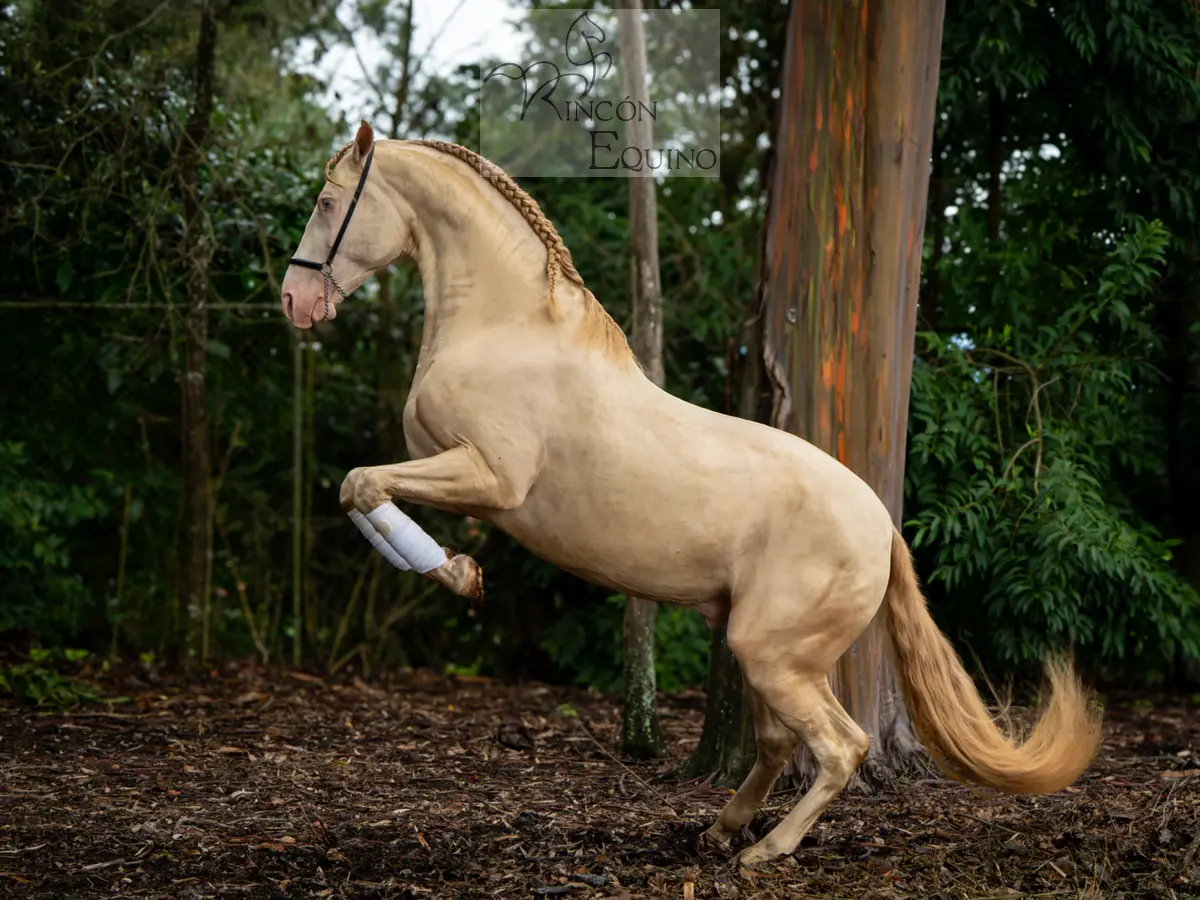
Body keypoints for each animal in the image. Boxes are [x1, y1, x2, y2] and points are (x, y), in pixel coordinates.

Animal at [279, 120, 1102, 866]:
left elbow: (359, 485)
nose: (293, 300)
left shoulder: (489, 479)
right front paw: (464, 571)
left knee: (841, 746)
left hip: (772, 652)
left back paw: (764, 851)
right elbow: (361, 488)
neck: (506, 328)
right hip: (759, 646)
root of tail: (882, 527)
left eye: (325, 201)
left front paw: (459, 574)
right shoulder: (451, 468)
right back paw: (718, 830)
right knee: (777, 744)